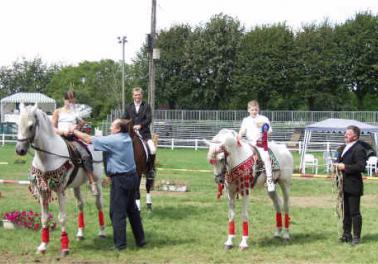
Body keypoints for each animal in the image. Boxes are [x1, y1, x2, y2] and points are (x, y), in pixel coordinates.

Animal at [15, 104, 105, 256]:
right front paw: (43, 245)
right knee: (80, 205)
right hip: (76, 186)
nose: (19, 150)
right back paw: (80, 233)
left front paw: (64, 247)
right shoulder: (42, 191)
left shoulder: (60, 190)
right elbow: (44, 218)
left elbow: (62, 218)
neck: (47, 157)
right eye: (17, 124)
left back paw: (102, 232)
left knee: (99, 204)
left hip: (97, 182)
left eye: (31, 126)